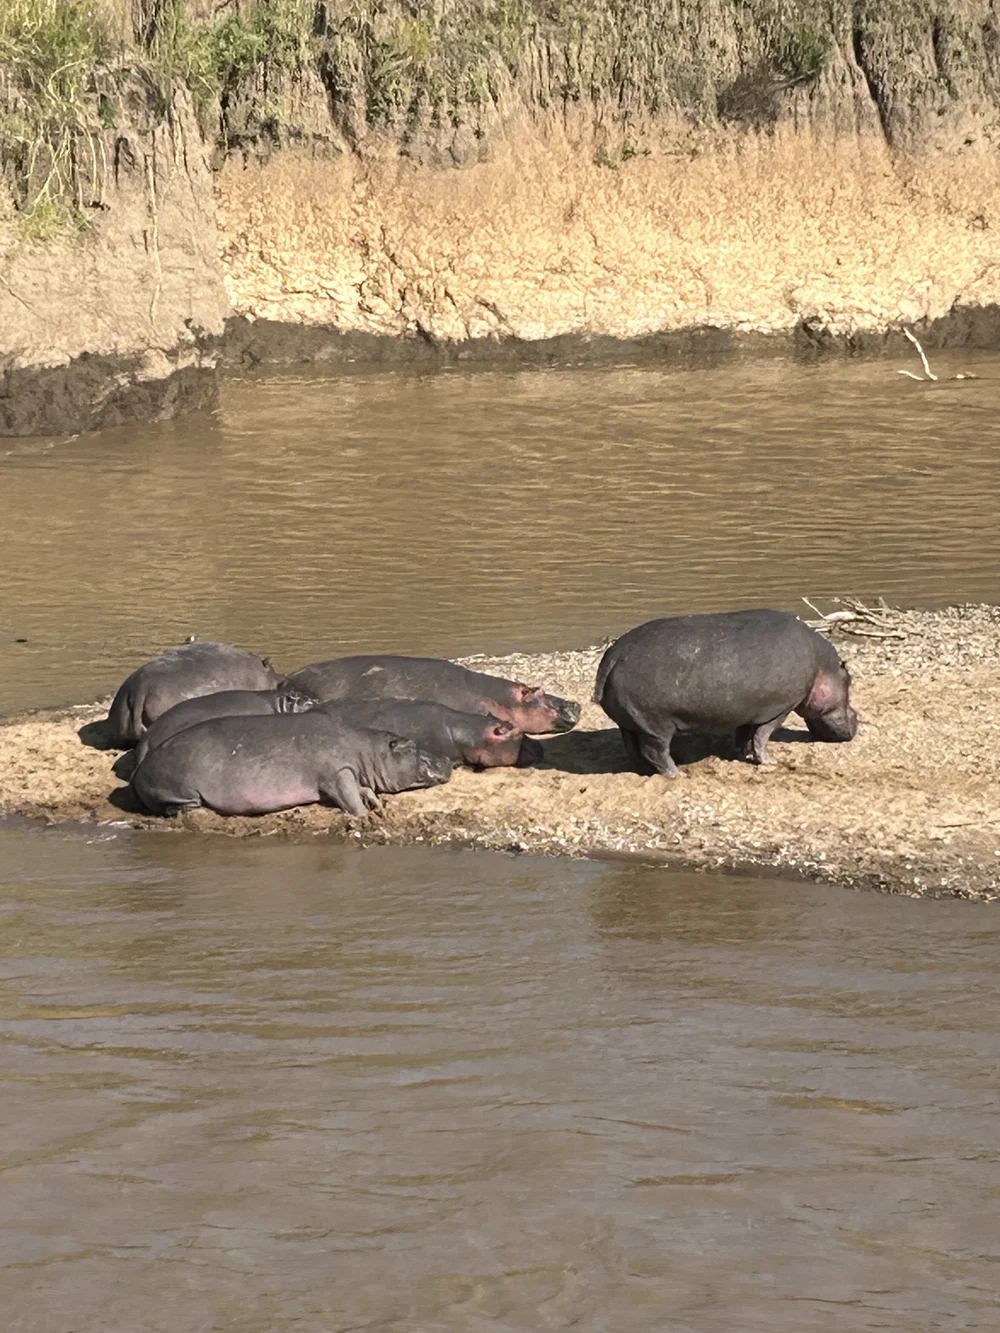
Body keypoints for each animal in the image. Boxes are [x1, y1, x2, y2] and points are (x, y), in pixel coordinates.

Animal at [129, 711, 454, 817]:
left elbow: (361, 789)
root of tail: (138, 772)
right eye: (411, 745)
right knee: (177, 805)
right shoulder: (337, 772)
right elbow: (348, 794)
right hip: (179, 787)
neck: (368, 750)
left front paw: (374, 802)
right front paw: (365, 816)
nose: (449, 761)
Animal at [594, 609, 858, 777]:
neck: (822, 669)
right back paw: (677, 774)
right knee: (656, 751)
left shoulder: (748, 710)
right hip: (656, 725)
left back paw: (645, 772)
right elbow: (762, 736)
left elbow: (745, 734)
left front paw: (742, 752)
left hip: (631, 722)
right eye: (850, 681)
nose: (857, 719)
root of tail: (614, 654)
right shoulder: (780, 709)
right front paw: (769, 762)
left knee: (633, 748)